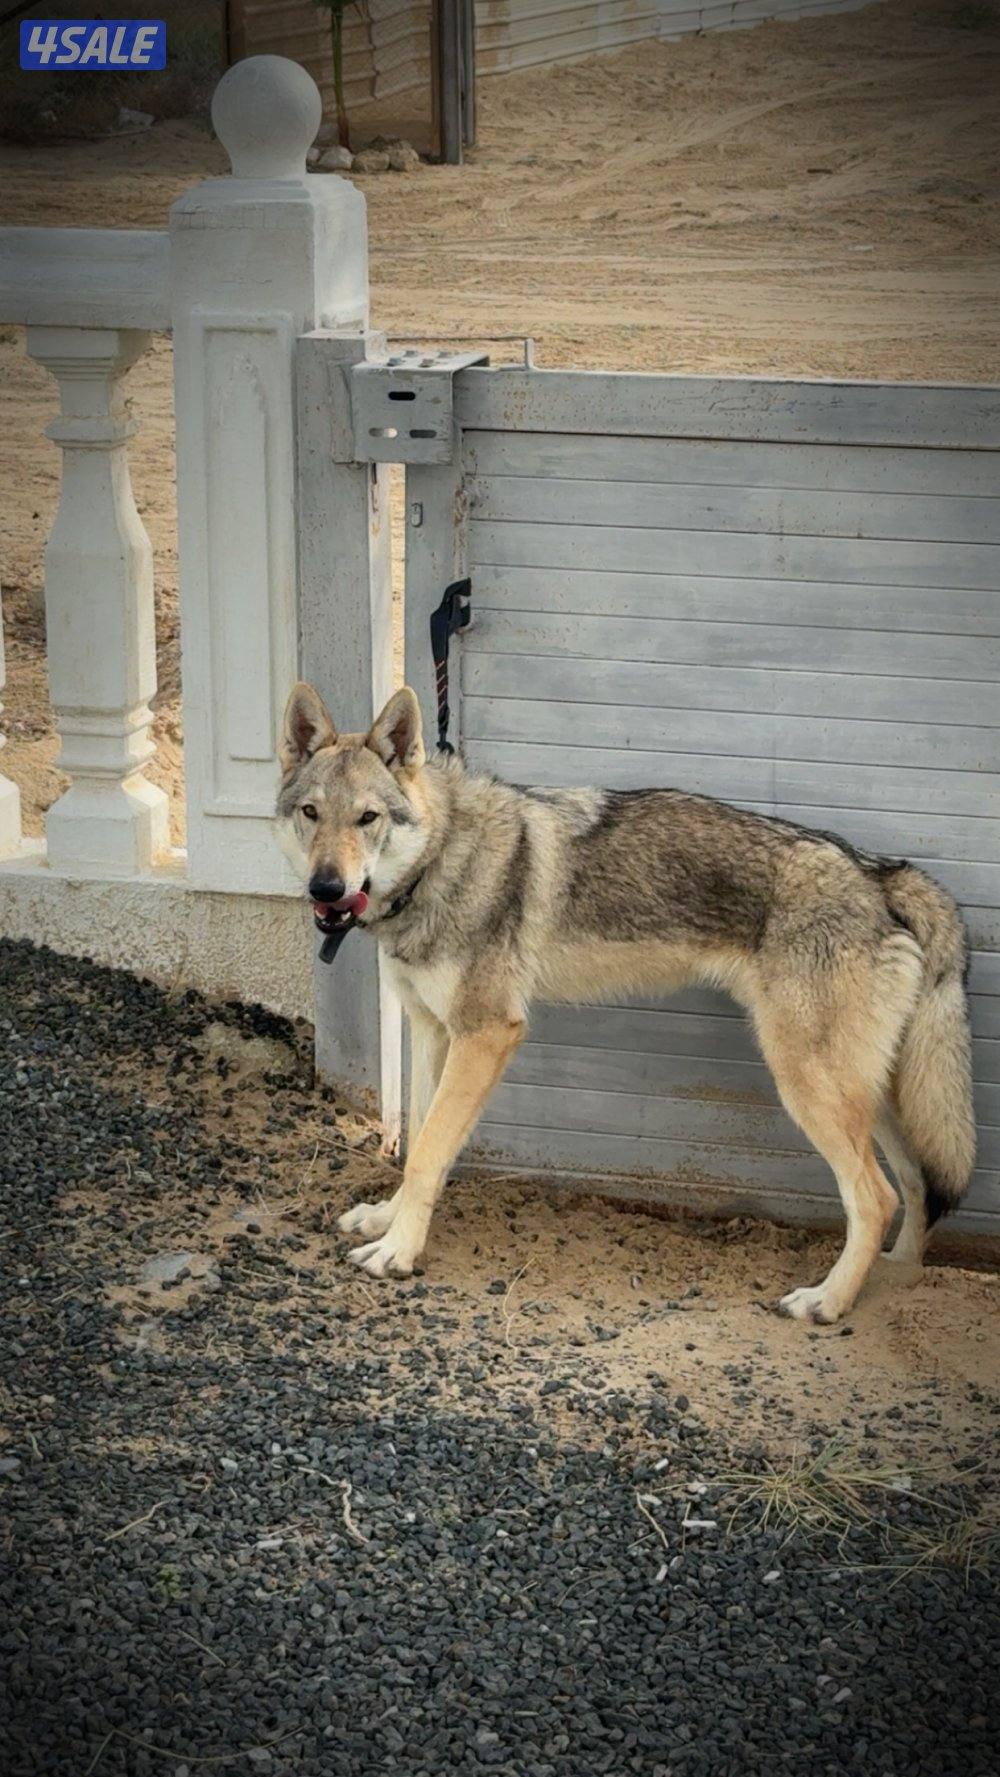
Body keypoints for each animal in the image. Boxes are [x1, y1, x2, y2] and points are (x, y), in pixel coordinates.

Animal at [276, 681, 976, 1324]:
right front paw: (386, 1222)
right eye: (311, 813)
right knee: (916, 1184)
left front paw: (398, 1253)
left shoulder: (487, 1033)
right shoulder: (433, 1031)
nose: (325, 888)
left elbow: (427, 1154)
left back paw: (827, 1301)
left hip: (809, 1084)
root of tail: (881, 872)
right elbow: (419, 1141)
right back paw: (897, 1276)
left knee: (875, 1198)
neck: (443, 857)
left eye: (367, 819)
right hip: (867, 1093)